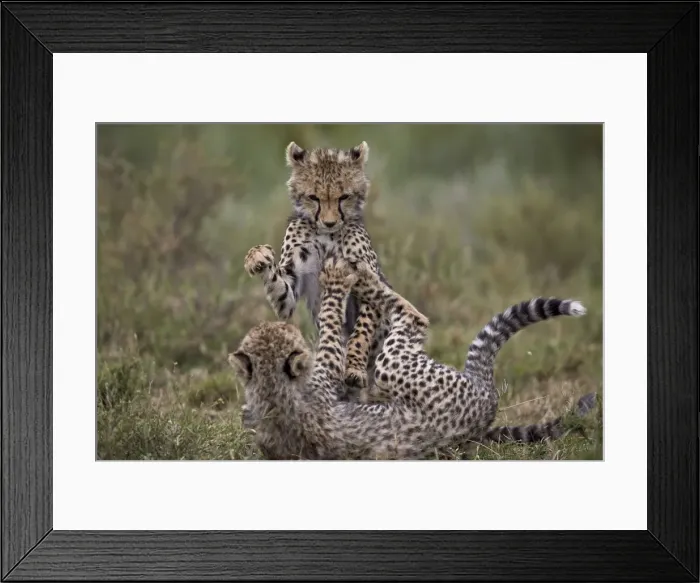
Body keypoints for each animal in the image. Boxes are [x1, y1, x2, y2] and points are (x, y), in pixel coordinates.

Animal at [230, 256, 593, 460]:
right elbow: (332, 331)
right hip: (392, 366)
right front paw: (334, 282)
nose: (283, 325)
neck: (271, 392)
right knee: (416, 318)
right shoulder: (326, 378)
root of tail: (486, 402)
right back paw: (358, 275)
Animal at [243, 140, 392, 400]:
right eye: (313, 197)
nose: (330, 222)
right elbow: (281, 289)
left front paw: (354, 368)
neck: (327, 235)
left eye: (344, 197)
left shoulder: (370, 283)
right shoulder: (290, 290)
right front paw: (257, 256)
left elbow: (361, 332)